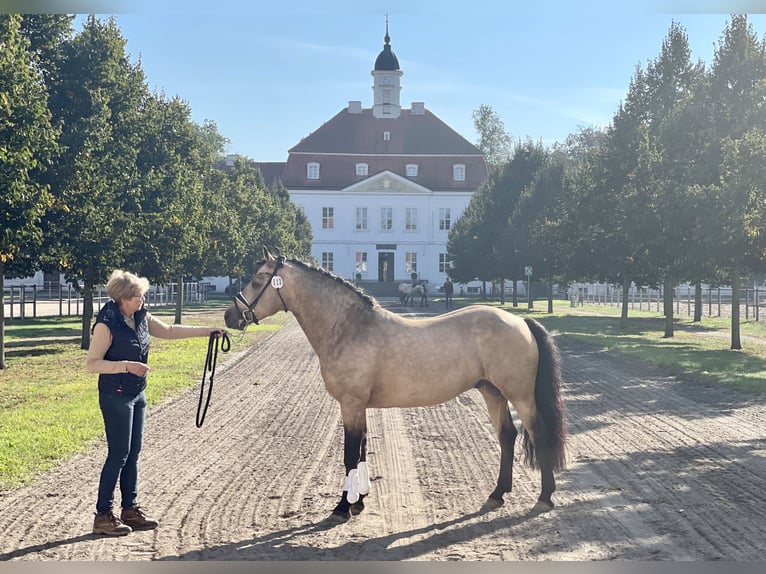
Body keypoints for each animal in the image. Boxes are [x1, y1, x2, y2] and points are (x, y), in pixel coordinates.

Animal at [225, 246, 568, 520]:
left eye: (257, 280)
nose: (231, 316)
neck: (350, 327)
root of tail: (519, 320)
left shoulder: (351, 404)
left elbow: (350, 454)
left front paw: (342, 508)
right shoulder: (359, 406)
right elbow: (362, 450)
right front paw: (358, 502)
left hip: (520, 395)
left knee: (538, 433)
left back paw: (544, 498)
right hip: (492, 391)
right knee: (507, 436)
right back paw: (497, 494)